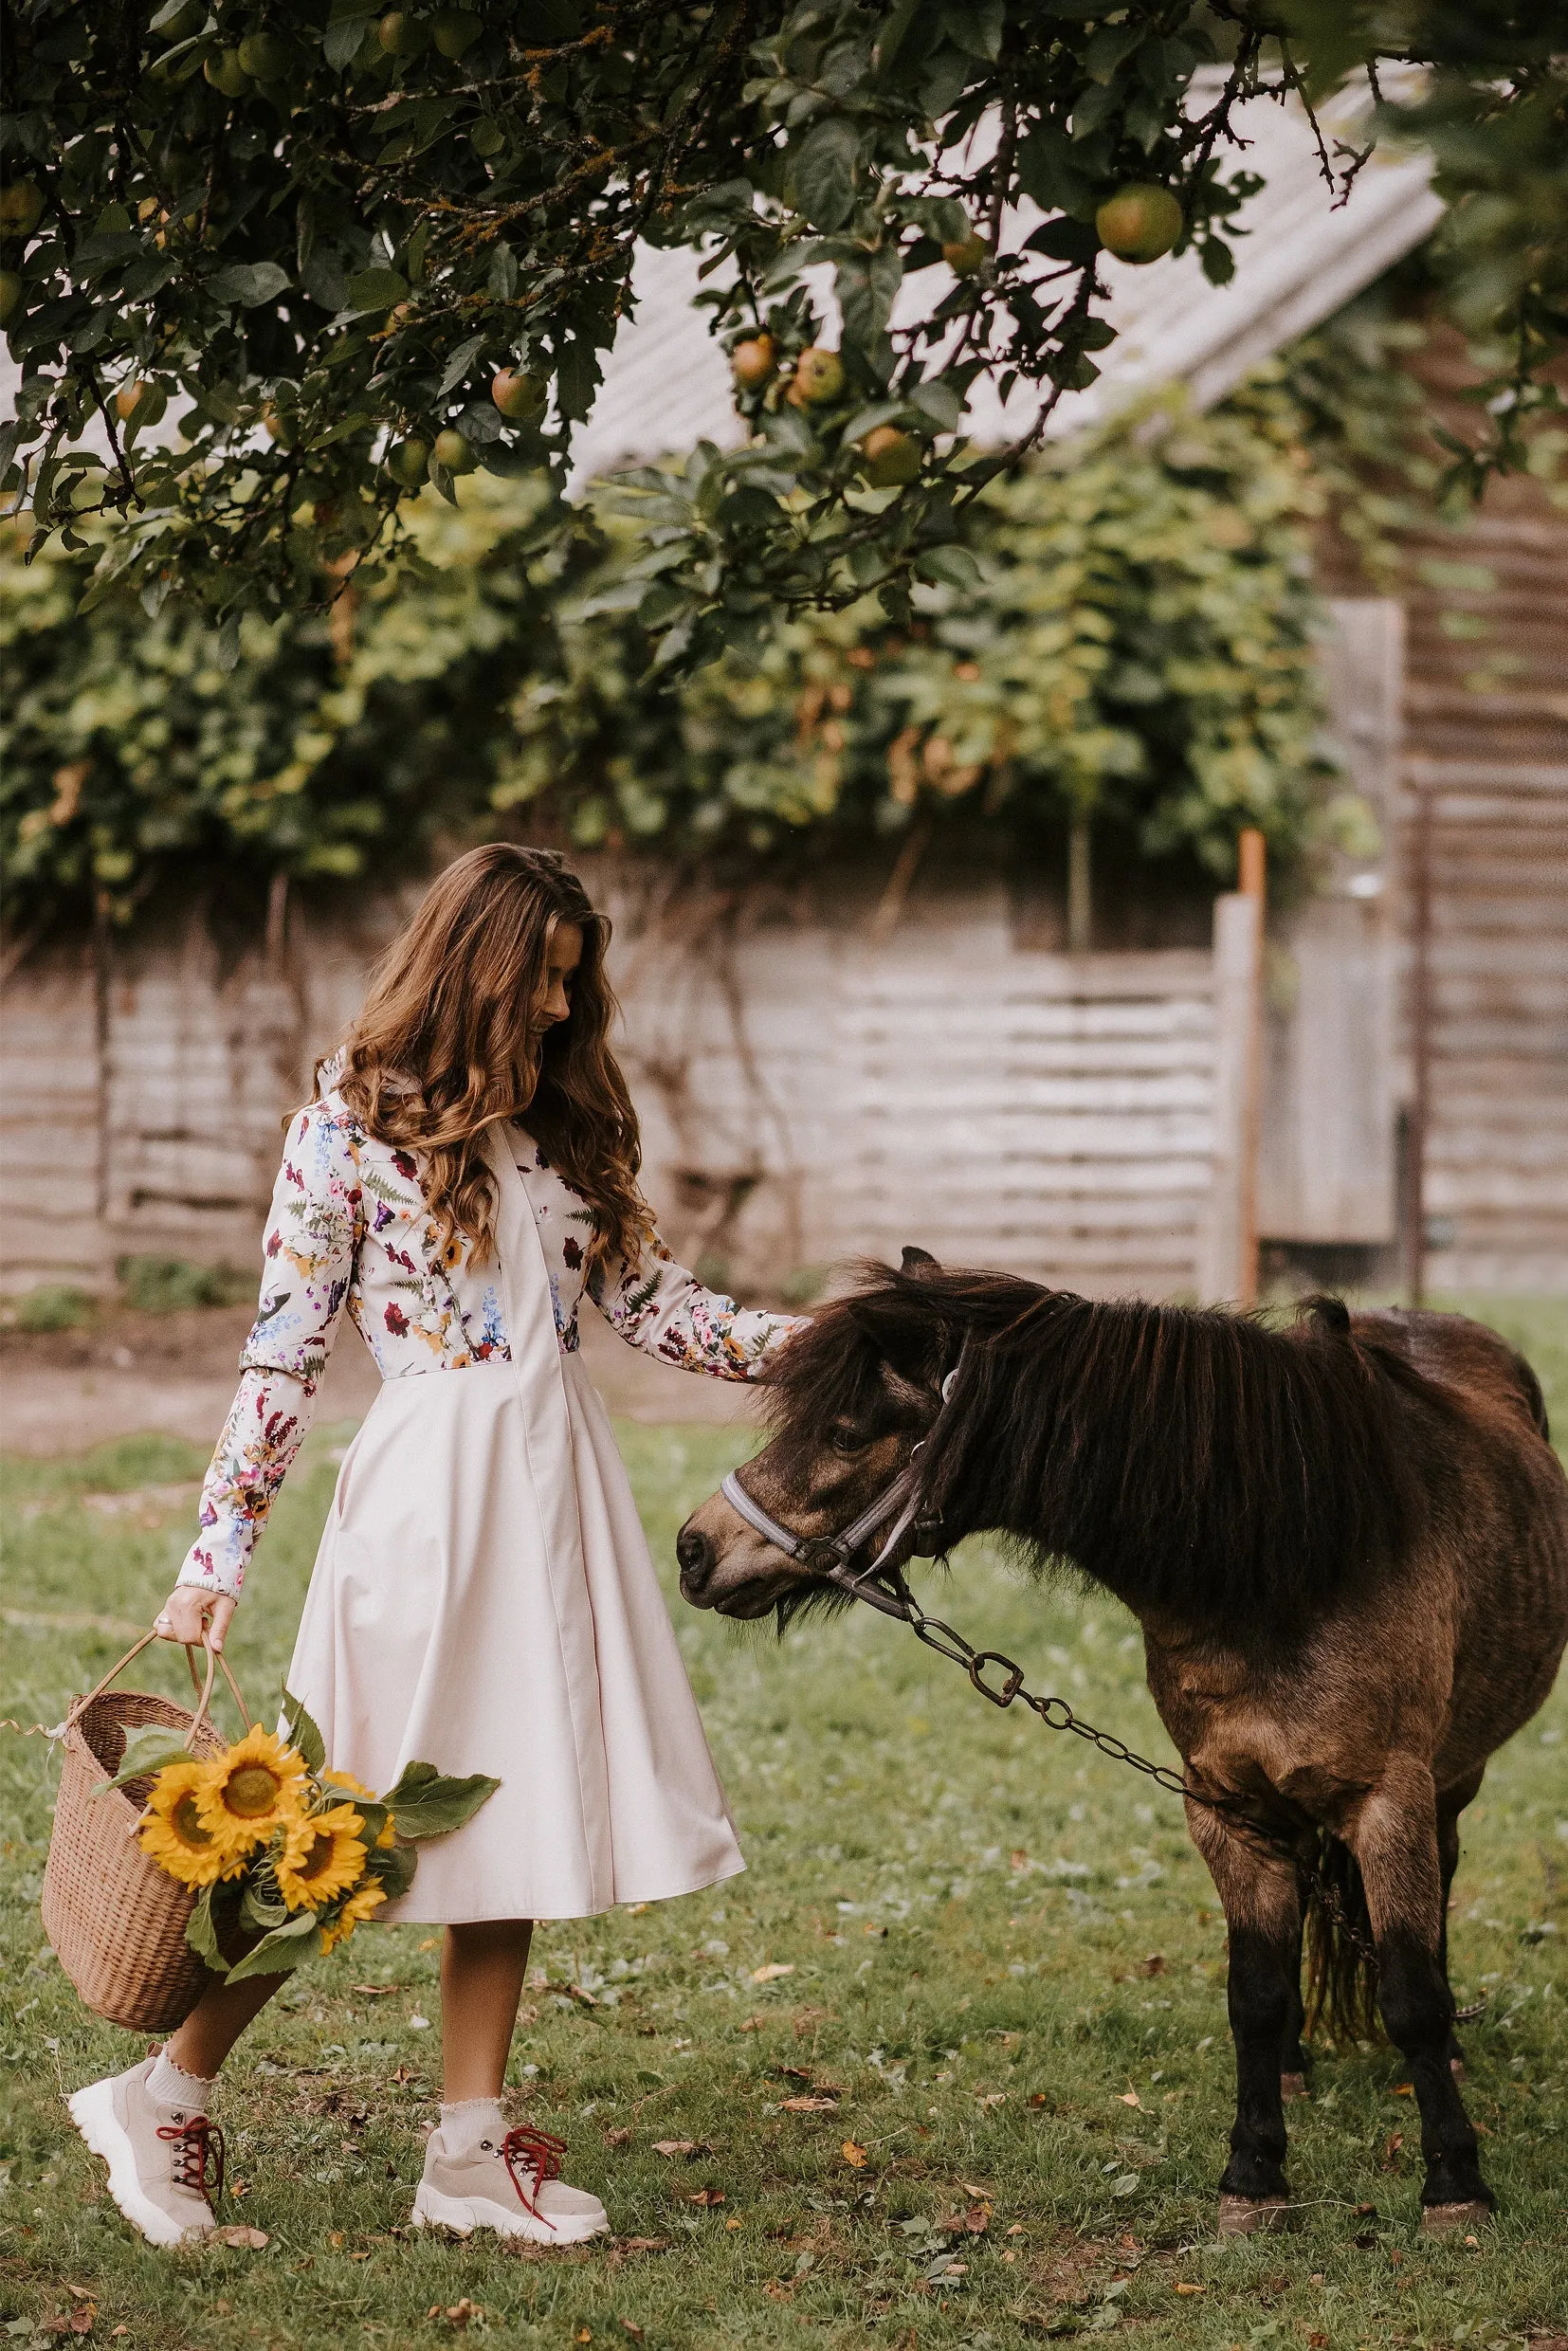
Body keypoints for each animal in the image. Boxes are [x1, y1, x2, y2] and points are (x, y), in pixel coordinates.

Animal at [677, 1260, 1568, 2229]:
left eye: (843, 1431)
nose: (694, 1549)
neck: (1296, 1564)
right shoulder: (1226, 1808)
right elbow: (1255, 1996)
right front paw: (1253, 2172)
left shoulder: (1387, 1801)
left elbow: (1411, 1997)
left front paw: (1456, 2182)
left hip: (1450, 1783)